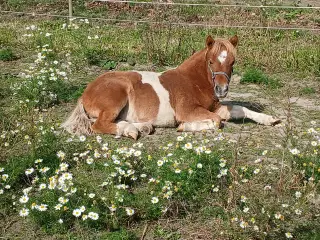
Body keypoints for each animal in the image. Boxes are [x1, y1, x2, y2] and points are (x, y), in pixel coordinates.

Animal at [62, 34, 280, 138]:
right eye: (211, 62)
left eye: (233, 62)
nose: (222, 90)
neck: (193, 82)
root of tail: (86, 92)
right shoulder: (189, 111)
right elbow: (217, 121)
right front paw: (183, 127)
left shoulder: (217, 107)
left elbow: (239, 109)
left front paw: (270, 119)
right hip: (117, 95)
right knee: (99, 124)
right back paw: (131, 131)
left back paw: (141, 128)